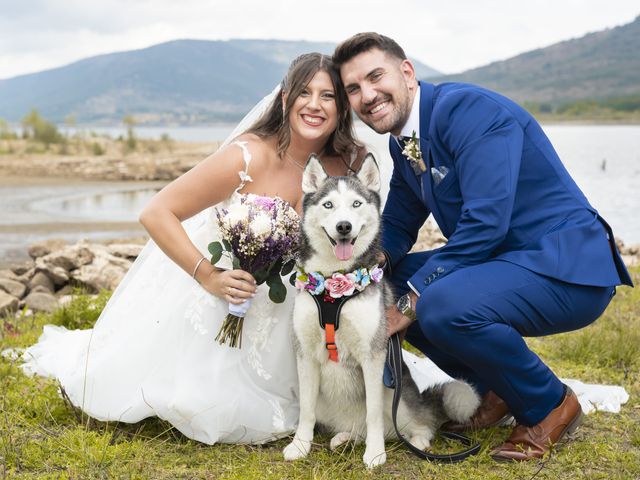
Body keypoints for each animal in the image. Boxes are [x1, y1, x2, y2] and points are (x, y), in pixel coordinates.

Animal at [282, 155, 478, 468]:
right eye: (328, 205)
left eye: (356, 204)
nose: (344, 226)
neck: (333, 288)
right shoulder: (306, 354)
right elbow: (306, 410)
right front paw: (300, 446)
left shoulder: (373, 357)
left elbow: (373, 413)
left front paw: (375, 454)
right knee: (356, 427)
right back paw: (344, 437)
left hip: (396, 393)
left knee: (418, 424)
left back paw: (415, 441)